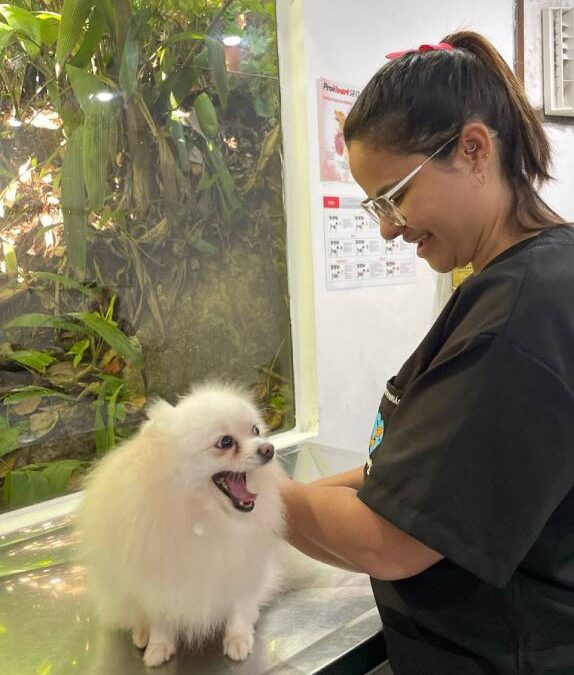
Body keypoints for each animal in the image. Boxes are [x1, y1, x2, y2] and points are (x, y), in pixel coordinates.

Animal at [77, 382, 288, 668]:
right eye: (225, 442)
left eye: (255, 430)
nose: (268, 448)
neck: (203, 516)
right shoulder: (157, 580)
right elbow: (159, 619)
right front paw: (158, 646)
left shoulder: (240, 565)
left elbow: (239, 605)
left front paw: (238, 638)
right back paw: (142, 633)